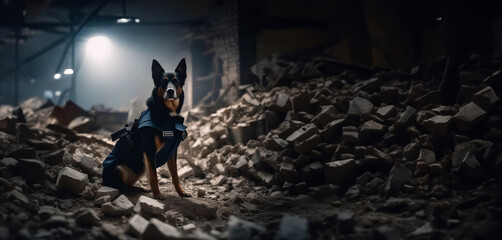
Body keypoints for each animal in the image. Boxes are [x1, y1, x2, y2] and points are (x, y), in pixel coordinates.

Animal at [101, 58, 190, 199]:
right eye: (164, 82)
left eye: (176, 81)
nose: (170, 91)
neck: (166, 114)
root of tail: (103, 181)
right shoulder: (149, 150)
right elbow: (154, 176)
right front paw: (157, 194)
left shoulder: (172, 152)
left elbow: (175, 175)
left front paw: (181, 191)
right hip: (120, 168)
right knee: (121, 187)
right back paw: (137, 189)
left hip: (141, 167)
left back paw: (139, 187)